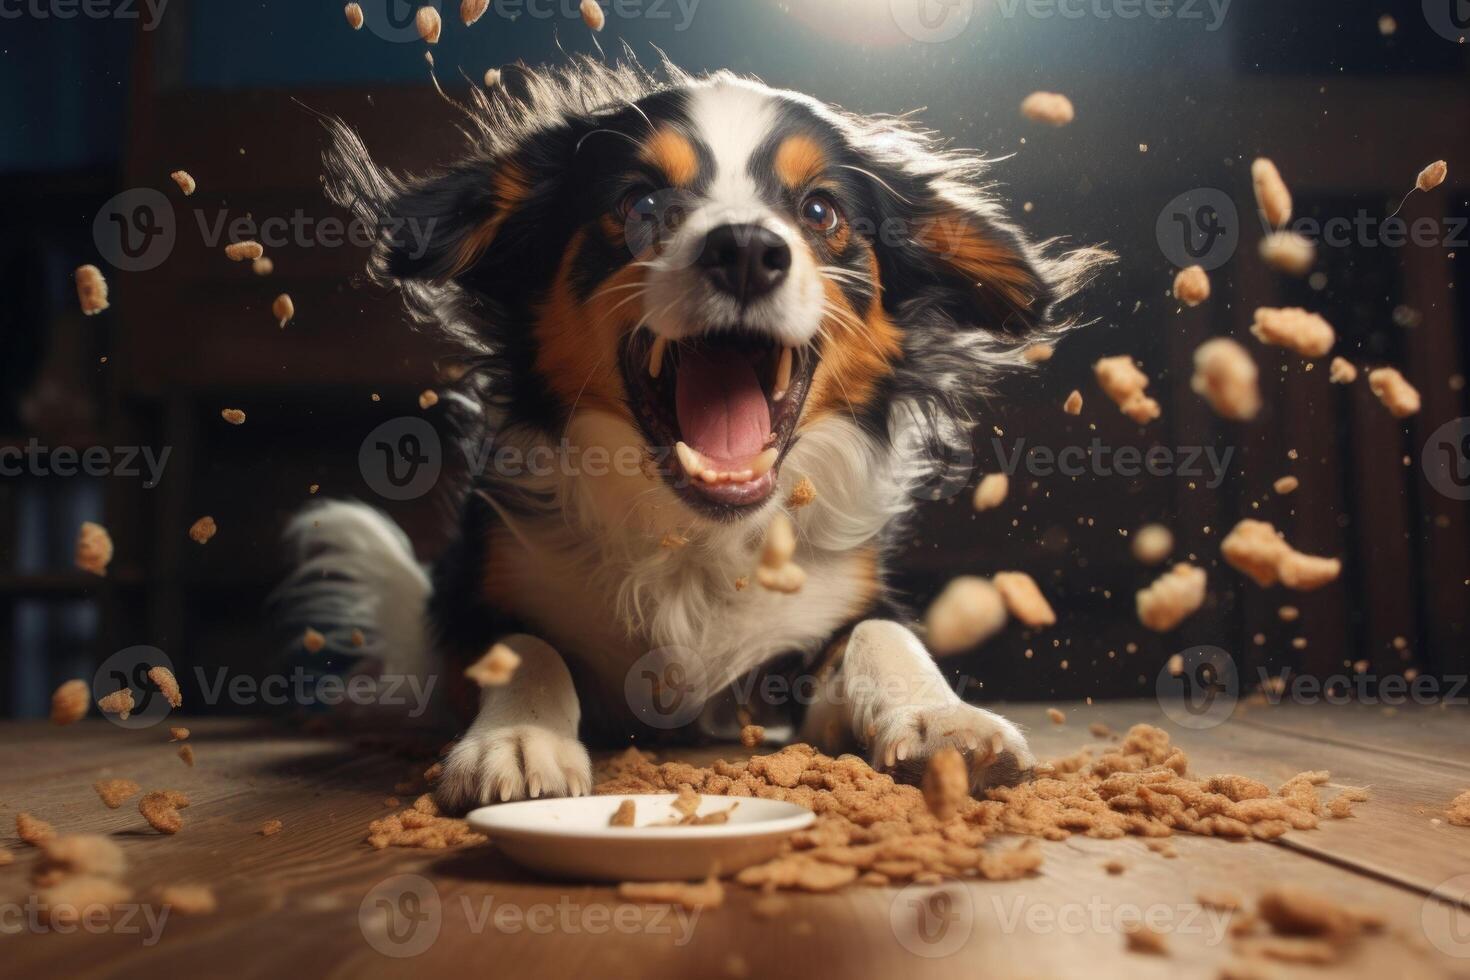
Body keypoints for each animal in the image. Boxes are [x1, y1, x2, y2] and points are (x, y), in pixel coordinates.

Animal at [276, 57, 1105, 816]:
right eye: (640, 203)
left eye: (820, 211)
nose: (745, 250)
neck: (694, 537)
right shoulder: (474, 602)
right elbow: (527, 650)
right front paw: (517, 739)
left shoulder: (818, 633)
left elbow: (882, 633)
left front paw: (943, 719)